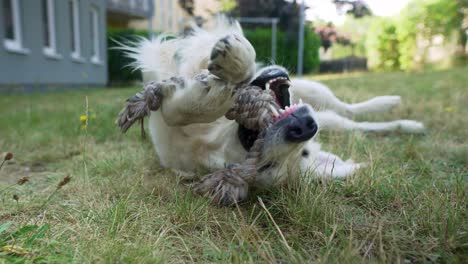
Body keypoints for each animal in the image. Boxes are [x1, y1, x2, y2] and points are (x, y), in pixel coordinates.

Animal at [119, 18, 424, 203]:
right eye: (305, 153)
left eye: (267, 167)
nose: (305, 128)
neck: (210, 139)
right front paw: (232, 67)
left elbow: (177, 110)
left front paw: (211, 91)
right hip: (315, 93)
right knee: (348, 112)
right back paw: (391, 106)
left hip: (325, 109)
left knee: (353, 118)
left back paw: (406, 121)